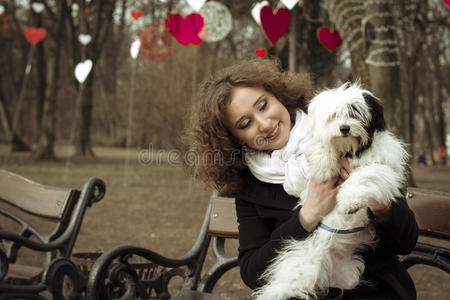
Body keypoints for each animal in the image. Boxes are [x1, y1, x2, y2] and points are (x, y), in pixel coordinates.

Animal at [255, 84, 410, 300]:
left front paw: (349, 202)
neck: (349, 150)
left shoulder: (384, 166)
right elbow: (319, 146)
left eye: (354, 113)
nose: (344, 128)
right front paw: (325, 164)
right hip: (303, 262)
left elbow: (365, 175)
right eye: (334, 116)